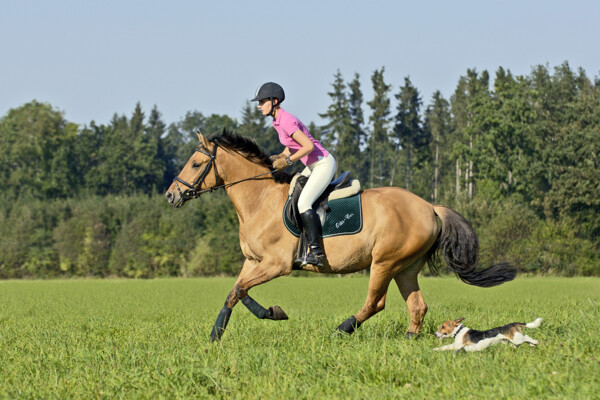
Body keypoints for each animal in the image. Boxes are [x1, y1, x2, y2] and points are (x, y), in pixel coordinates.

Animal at [164, 130, 516, 342]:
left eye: (195, 163)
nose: (171, 195)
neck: (260, 200)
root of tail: (430, 206)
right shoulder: (253, 261)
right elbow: (235, 292)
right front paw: (217, 334)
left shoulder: (275, 264)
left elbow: (240, 290)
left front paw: (273, 314)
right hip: (406, 267)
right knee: (417, 306)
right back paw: (410, 340)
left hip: (384, 262)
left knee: (375, 302)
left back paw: (341, 329)